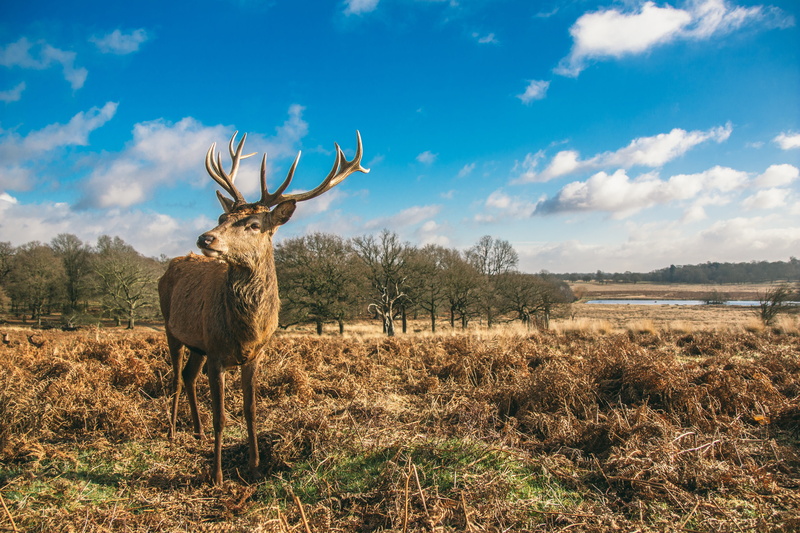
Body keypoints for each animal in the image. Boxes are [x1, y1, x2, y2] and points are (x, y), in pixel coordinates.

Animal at [158, 130, 368, 484]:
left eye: (254, 224)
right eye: (222, 217)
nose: (205, 238)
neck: (245, 330)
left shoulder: (253, 355)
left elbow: (251, 410)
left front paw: (255, 466)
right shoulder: (217, 353)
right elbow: (221, 417)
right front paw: (216, 475)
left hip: (197, 344)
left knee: (187, 376)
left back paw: (197, 432)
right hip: (170, 328)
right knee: (174, 378)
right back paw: (173, 433)